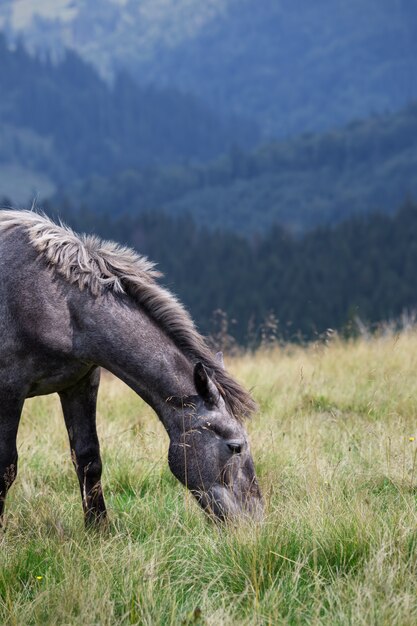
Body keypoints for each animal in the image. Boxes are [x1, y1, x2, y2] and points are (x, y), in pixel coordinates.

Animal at [0, 211, 260, 528]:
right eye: (235, 446)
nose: (254, 520)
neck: (56, 301)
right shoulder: (9, 391)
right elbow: (6, 467)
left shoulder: (80, 383)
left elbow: (88, 458)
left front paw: (98, 529)